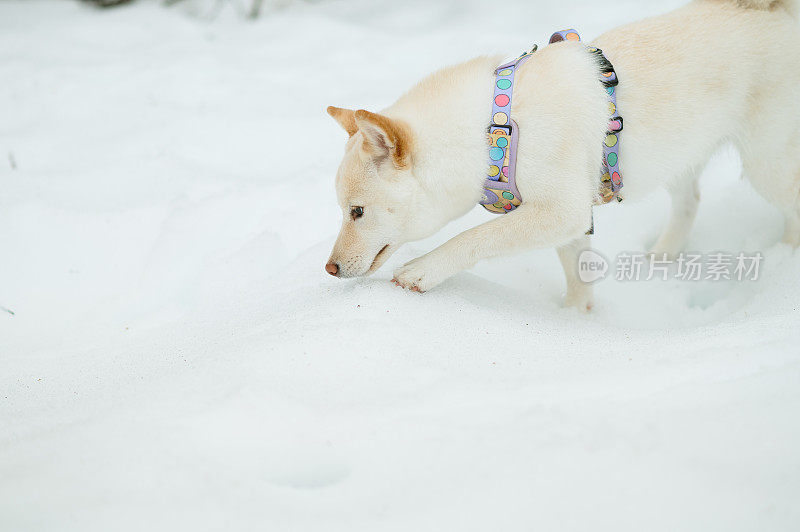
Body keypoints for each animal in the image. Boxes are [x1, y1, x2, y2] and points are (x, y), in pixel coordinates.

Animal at [326, 0, 800, 310]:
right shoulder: (572, 218)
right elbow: (577, 270)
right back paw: (661, 258)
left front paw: (424, 270)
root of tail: (775, 12)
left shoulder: (560, 209)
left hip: (767, 162)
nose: (329, 269)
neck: (496, 126)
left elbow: (476, 236)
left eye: (357, 211)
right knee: (690, 201)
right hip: (680, 152)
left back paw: (786, 258)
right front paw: (575, 320)